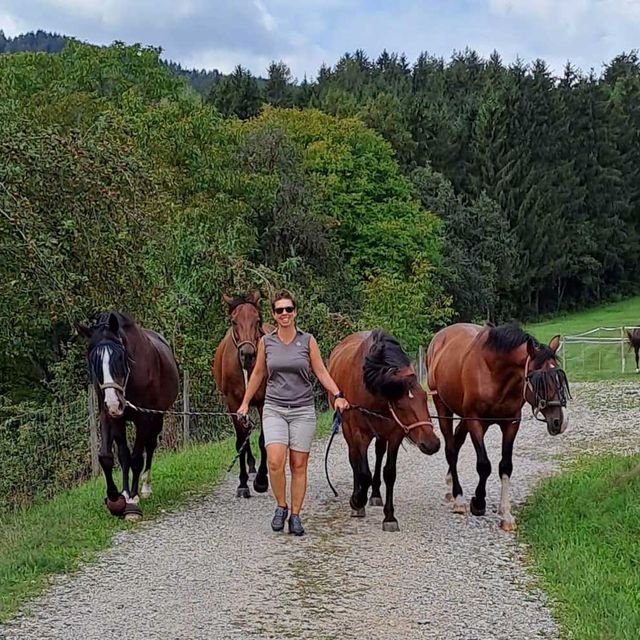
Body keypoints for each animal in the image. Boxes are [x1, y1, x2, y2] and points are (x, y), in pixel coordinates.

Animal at [76, 312, 179, 520]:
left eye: (119, 357)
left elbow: (137, 458)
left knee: (150, 447)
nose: (114, 403)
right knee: (124, 454)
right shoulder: (108, 416)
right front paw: (116, 496)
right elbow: (109, 457)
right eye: (93, 360)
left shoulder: (144, 418)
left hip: (157, 418)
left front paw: (133, 499)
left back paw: (145, 487)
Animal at [210, 292, 270, 498]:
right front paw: (243, 484)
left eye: (257, 320)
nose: (248, 354)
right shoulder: (233, 403)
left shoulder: (263, 402)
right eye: (234, 321)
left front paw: (261, 481)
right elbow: (239, 441)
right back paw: (250, 467)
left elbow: (263, 440)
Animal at [330, 330, 440, 528]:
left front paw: (389, 517)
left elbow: (389, 472)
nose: (432, 443)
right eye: (400, 405)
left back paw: (374, 495)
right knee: (354, 459)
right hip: (348, 430)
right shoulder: (359, 434)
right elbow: (363, 472)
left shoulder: (394, 434)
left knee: (379, 453)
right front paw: (357, 501)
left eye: (423, 397)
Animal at [424, 324, 568, 528]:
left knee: (458, 440)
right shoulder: (475, 421)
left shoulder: (511, 423)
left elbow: (505, 466)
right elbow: (484, 465)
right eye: (538, 381)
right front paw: (478, 502)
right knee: (451, 449)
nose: (558, 422)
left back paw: (451, 483)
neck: (495, 373)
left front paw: (506, 514)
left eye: (559, 379)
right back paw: (458, 498)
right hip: (443, 407)